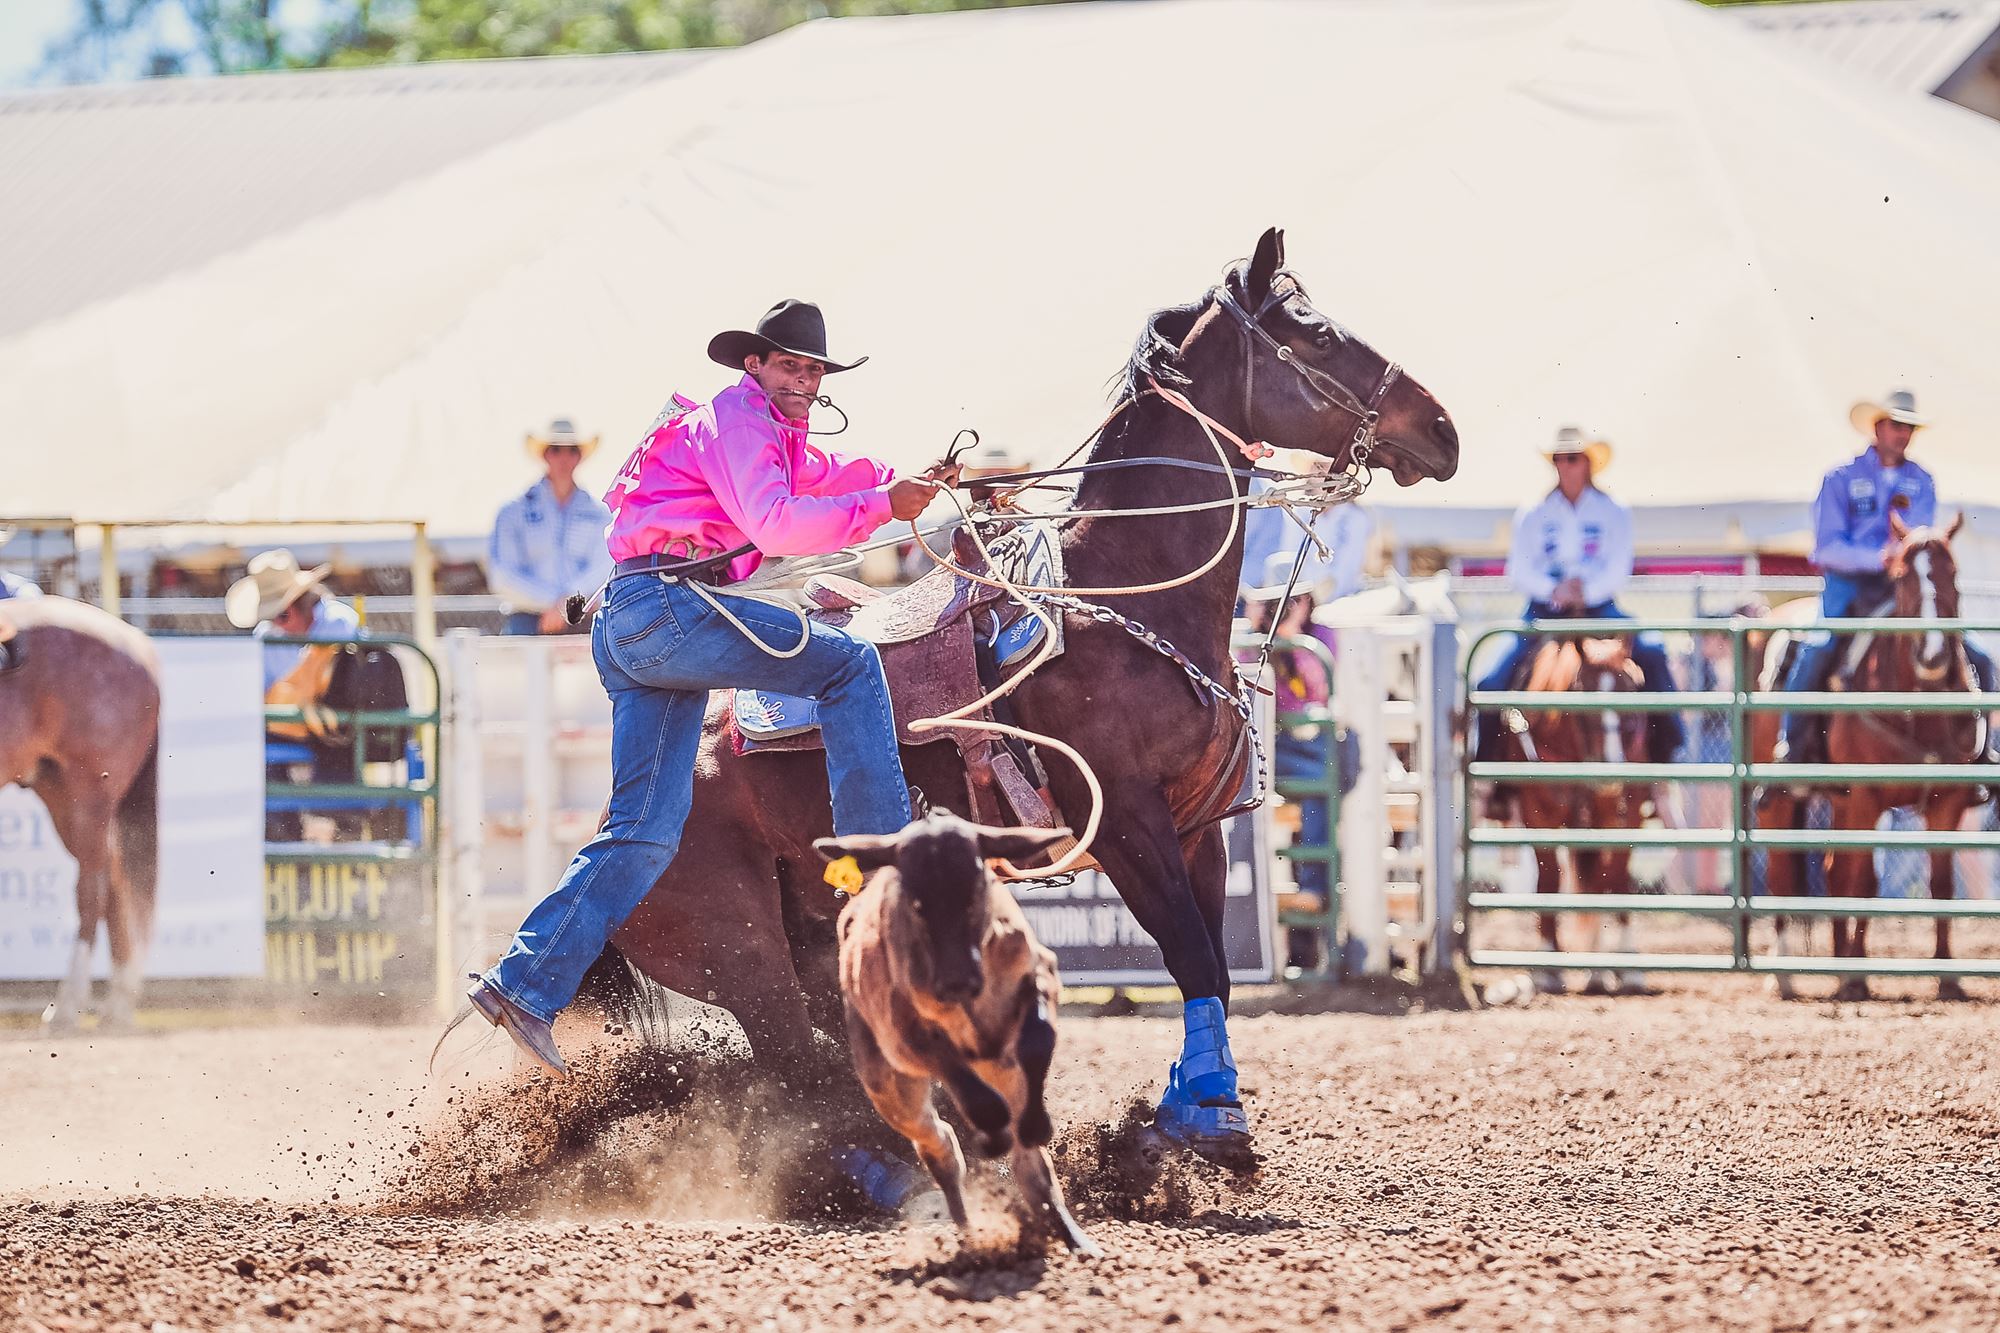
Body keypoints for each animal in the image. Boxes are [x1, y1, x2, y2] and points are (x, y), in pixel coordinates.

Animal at [0, 592, 160, 1024]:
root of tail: (139, 647)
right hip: (60, 794)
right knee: (115, 879)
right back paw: (119, 1002)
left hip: (87, 796)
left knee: (93, 889)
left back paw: (69, 1005)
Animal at [584, 226, 1464, 1152]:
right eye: (1316, 334)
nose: (1442, 429)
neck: (1129, 593)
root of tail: (614, 819)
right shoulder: (1125, 819)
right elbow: (1188, 950)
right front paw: (1215, 1115)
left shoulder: (1197, 825)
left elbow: (1215, 967)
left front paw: (1190, 1101)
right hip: (743, 957)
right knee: (796, 1062)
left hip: (816, 935)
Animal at [1504, 640, 1656, 992]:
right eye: (1582, 692)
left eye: (1632, 689)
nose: (1610, 771)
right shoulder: (1538, 812)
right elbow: (1549, 878)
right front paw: (1548, 965)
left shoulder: (1623, 812)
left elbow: (1614, 879)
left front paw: (1624, 966)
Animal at [1760, 512, 1992, 1000]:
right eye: (1902, 577)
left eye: (1953, 572)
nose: (1932, 656)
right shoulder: (1868, 797)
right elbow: (1865, 882)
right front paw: (1856, 978)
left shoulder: (1946, 803)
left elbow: (1940, 884)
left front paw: (1948, 977)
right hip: (1784, 798)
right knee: (1781, 870)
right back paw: (1787, 974)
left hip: (1842, 802)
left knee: (1833, 873)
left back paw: (1837, 961)